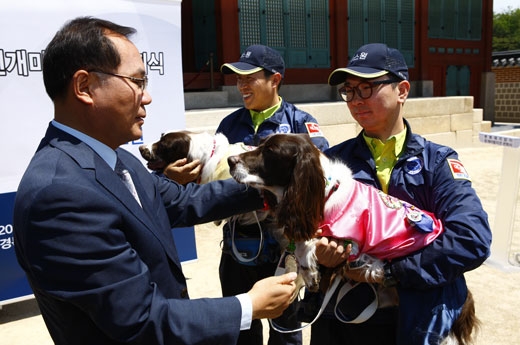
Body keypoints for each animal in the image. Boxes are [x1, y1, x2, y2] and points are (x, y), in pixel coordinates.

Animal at [228, 132, 480, 344]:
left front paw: (308, 266)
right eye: (260, 144)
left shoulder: (354, 244)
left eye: (270, 151)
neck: (325, 192)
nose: (230, 160)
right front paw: (309, 274)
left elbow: (309, 243)